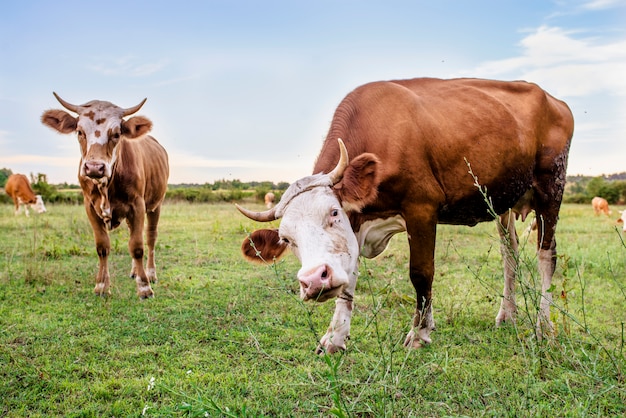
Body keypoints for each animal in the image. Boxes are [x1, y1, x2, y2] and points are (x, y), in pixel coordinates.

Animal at [41, 93, 168, 298]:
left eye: (116, 134)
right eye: (79, 132)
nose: (94, 167)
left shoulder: (137, 205)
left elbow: (137, 246)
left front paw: (144, 287)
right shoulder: (90, 207)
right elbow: (102, 246)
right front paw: (101, 285)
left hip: (156, 204)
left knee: (150, 238)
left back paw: (150, 273)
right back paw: (134, 271)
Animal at [236, 76, 572, 352]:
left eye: (333, 213)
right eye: (287, 239)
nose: (313, 281)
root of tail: (553, 99)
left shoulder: (421, 208)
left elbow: (421, 273)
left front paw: (420, 332)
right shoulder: (358, 222)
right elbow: (350, 278)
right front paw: (335, 337)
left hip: (550, 189)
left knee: (546, 256)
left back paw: (544, 326)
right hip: (503, 202)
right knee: (509, 255)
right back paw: (507, 315)